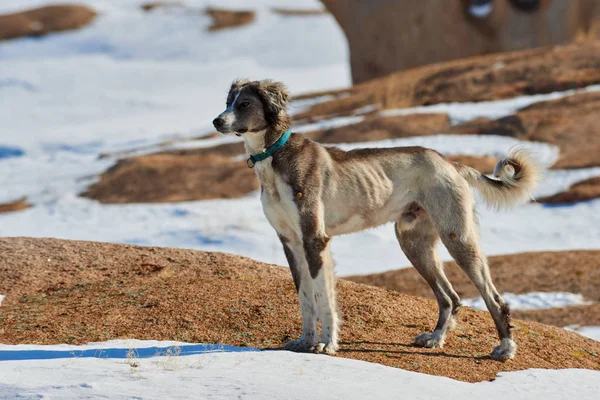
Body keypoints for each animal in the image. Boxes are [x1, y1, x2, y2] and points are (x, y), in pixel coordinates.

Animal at [212, 79, 544, 360]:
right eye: (228, 101)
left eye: (245, 104)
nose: (217, 121)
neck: (275, 157)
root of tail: (450, 163)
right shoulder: (291, 243)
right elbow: (306, 297)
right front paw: (306, 341)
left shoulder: (315, 239)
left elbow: (324, 297)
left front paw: (327, 344)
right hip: (414, 243)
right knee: (450, 297)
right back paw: (436, 338)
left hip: (457, 237)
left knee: (493, 298)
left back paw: (505, 348)